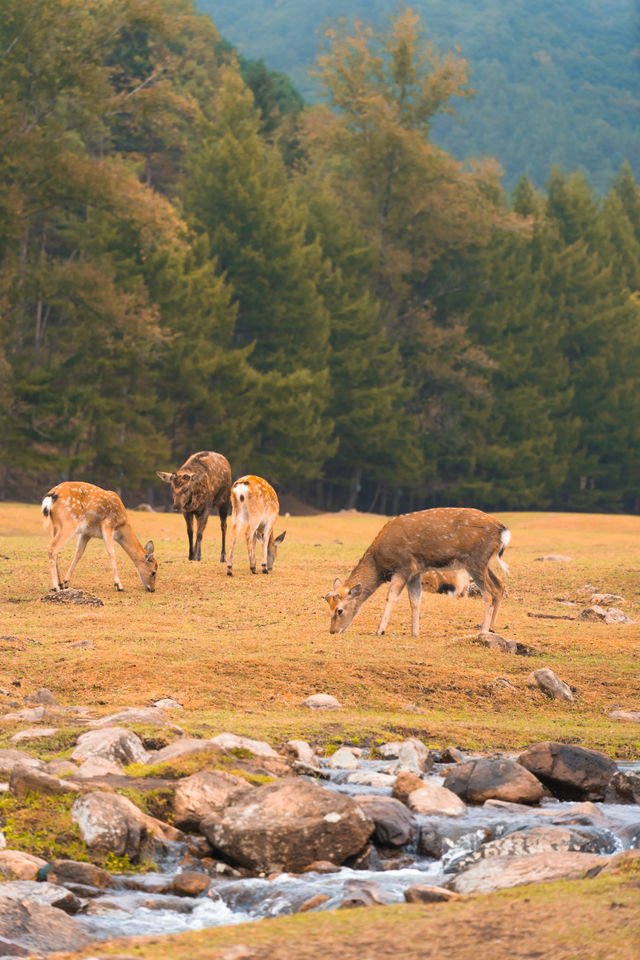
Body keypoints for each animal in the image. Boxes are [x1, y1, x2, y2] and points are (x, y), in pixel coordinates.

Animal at [324, 506, 510, 640]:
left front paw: (380, 630)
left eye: (339, 610)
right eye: (329, 608)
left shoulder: (404, 567)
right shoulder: (416, 572)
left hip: (476, 560)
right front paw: (415, 633)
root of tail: (503, 530)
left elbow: (391, 597)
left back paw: (483, 631)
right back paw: (492, 629)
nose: (333, 631)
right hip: (482, 563)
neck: (379, 563)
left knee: (489, 592)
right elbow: (415, 601)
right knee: (500, 586)